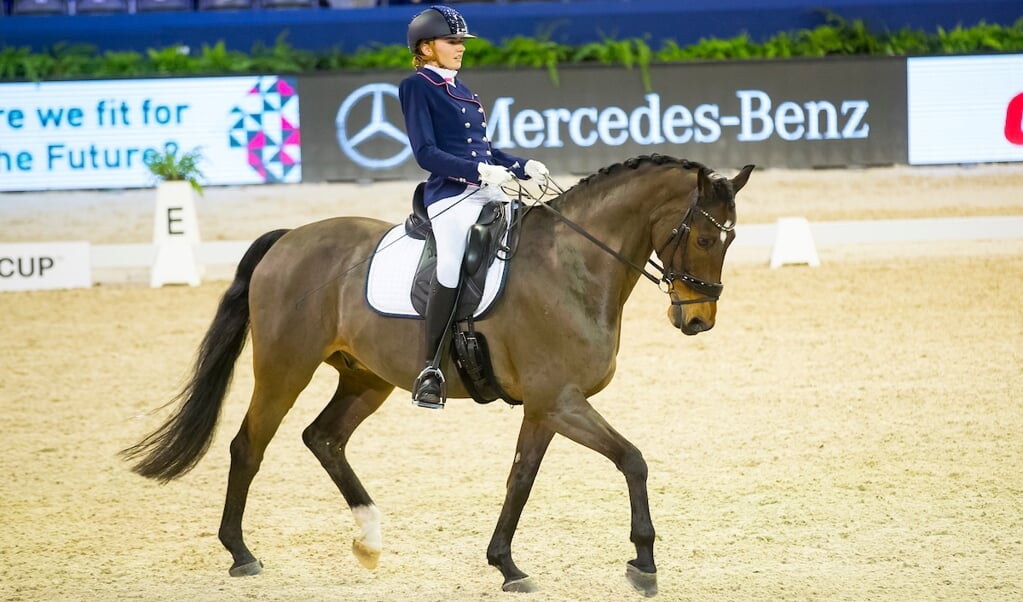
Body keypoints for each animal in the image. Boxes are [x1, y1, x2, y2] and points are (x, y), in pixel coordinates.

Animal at [123, 153, 757, 597]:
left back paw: (369, 540)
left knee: (323, 438)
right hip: (284, 369)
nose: (697, 320)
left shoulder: (546, 406)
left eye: (731, 239)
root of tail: (289, 239)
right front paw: (644, 563)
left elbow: (520, 478)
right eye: (705, 236)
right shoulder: (561, 400)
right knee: (248, 446)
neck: (572, 267)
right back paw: (241, 553)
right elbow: (632, 459)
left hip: (365, 378)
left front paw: (506, 565)